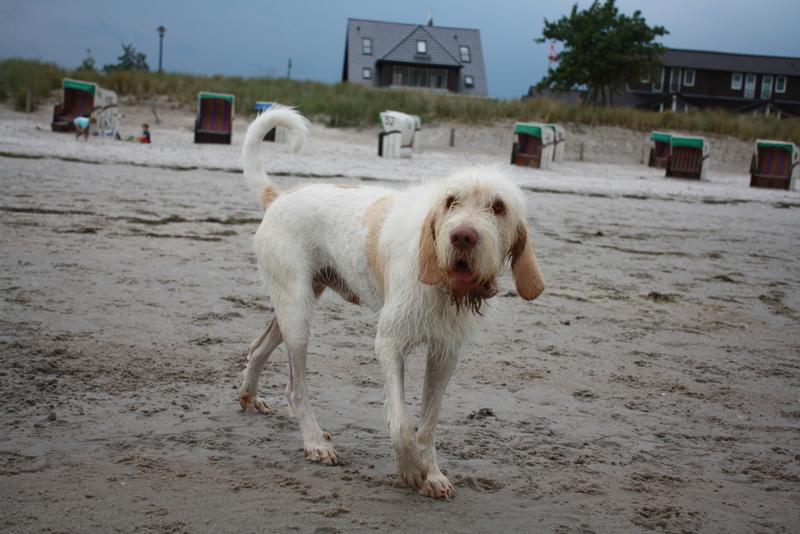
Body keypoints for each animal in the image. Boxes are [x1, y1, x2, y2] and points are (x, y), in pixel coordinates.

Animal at [237, 106, 545, 499]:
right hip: (298, 315)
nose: (462, 236)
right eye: (451, 202)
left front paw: (433, 474)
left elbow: (427, 424)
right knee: (295, 387)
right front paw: (410, 469)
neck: (442, 283)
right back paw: (315, 442)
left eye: (498, 207)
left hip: (292, 307)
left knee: (257, 348)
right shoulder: (390, 343)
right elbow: (400, 421)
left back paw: (250, 397)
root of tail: (277, 197)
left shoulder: (445, 354)